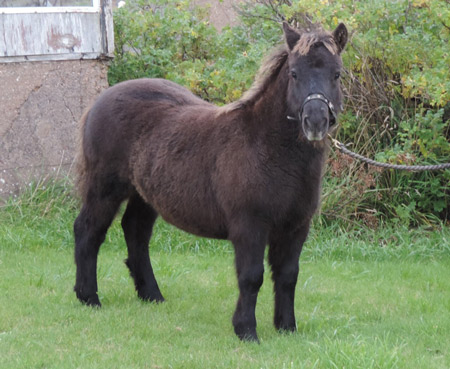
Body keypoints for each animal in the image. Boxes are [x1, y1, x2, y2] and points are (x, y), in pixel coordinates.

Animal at [74, 22, 348, 340]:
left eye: (337, 73)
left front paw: (287, 328)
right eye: (294, 73)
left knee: (136, 232)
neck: (268, 148)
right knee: (88, 231)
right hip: (104, 188)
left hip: (145, 194)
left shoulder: (296, 227)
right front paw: (246, 330)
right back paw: (88, 297)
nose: (315, 122)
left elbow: (288, 275)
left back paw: (151, 295)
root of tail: (99, 101)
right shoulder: (249, 225)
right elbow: (251, 276)